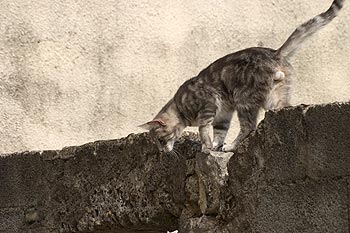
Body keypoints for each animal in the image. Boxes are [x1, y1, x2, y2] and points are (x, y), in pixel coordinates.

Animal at [139, 0, 344, 154]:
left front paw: (207, 147)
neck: (180, 106)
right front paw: (215, 146)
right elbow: (219, 132)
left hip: (244, 99)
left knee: (249, 126)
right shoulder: (222, 115)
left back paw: (231, 146)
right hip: (275, 99)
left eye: (160, 139)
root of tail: (275, 53)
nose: (161, 151)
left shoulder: (208, 106)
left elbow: (204, 130)